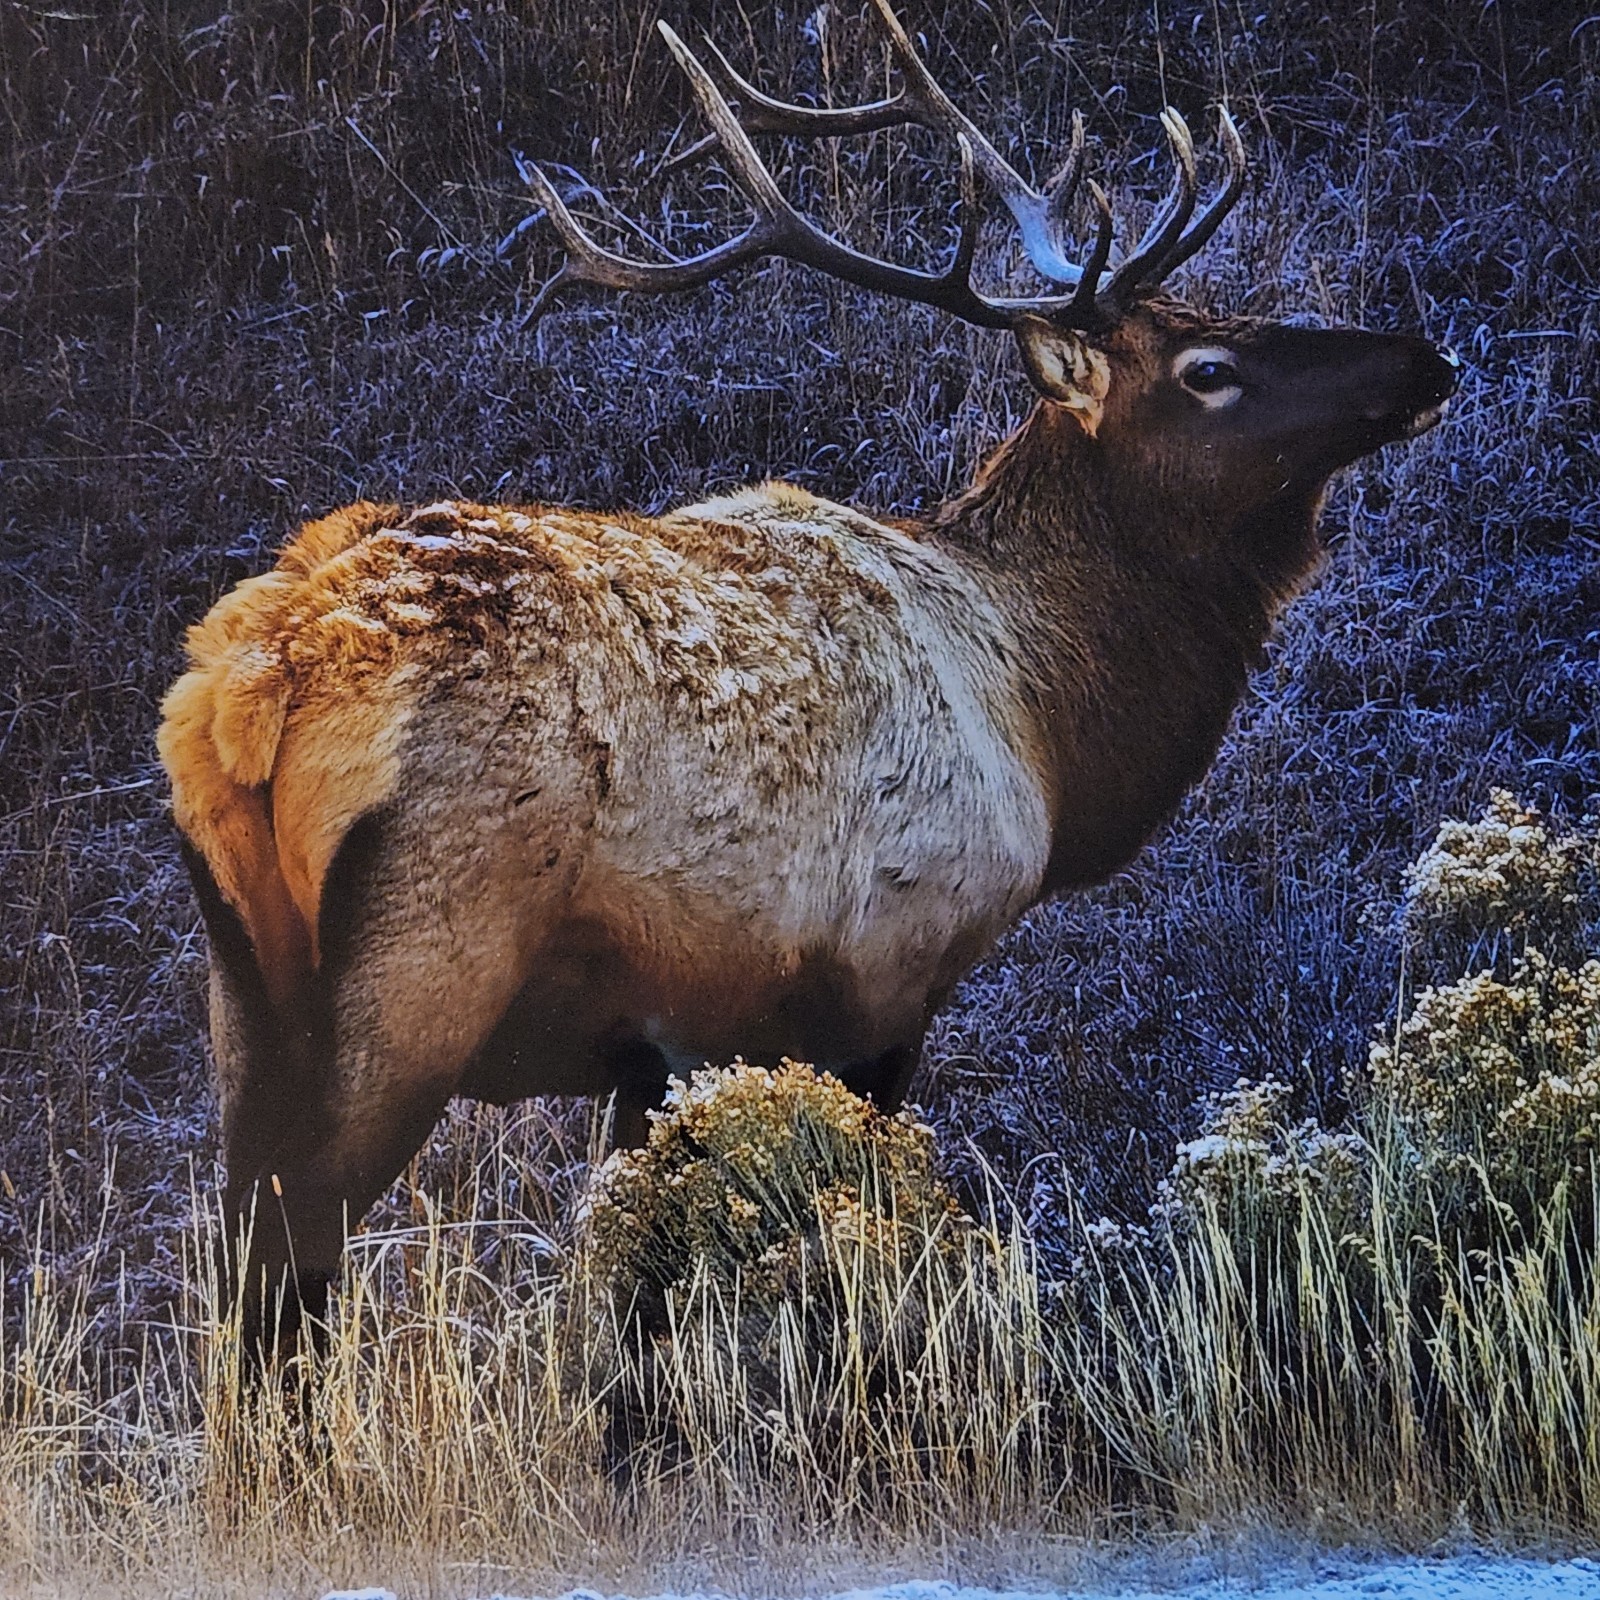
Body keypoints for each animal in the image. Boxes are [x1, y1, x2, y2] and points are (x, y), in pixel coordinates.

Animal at [158, 0, 1458, 1345]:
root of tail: (252, 683)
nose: (1421, 358)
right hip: (417, 965)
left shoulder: (667, 1042)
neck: (1047, 727)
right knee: (284, 1267)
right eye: (1208, 369)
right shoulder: (887, 968)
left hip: (242, 996)